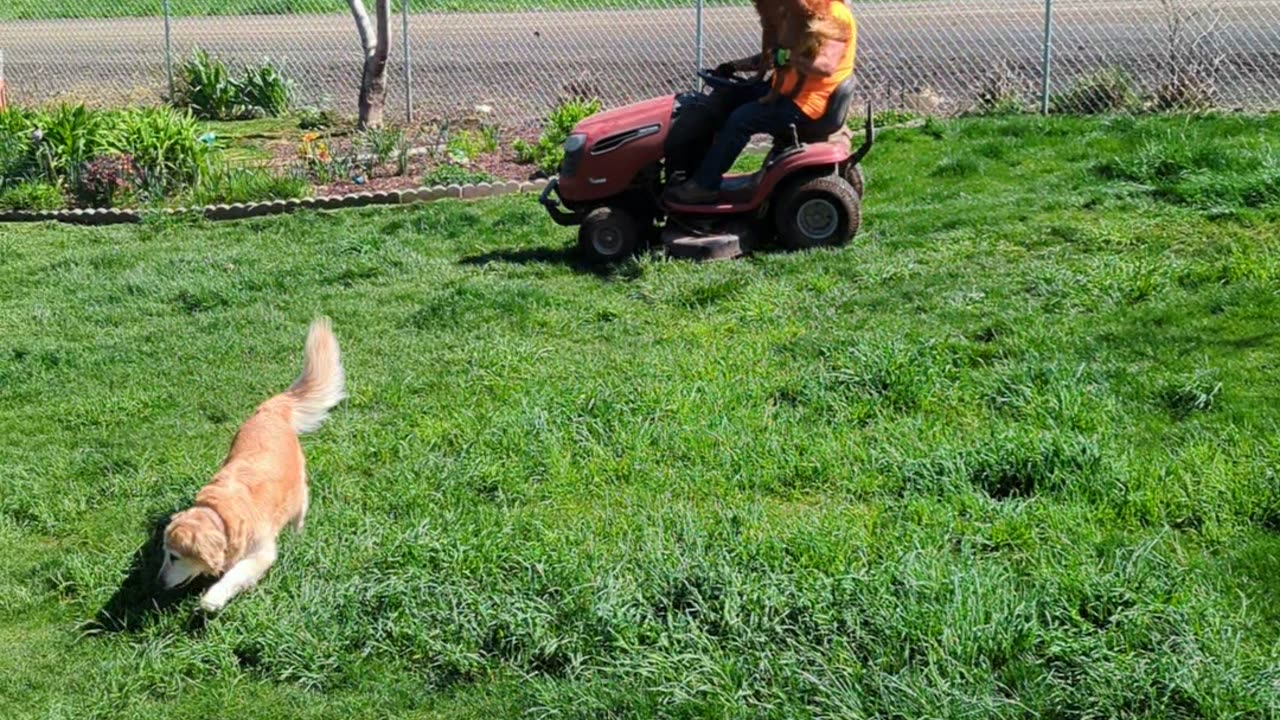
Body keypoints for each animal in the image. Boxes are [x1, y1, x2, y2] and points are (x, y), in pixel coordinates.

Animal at [162, 316, 348, 607]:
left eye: (174, 557)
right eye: (163, 553)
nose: (157, 582)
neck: (219, 515)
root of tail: (270, 410)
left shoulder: (261, 552)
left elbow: (236, 574)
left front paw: (213, 598)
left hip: (298, 487)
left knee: (302, 504)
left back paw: (298, 532)